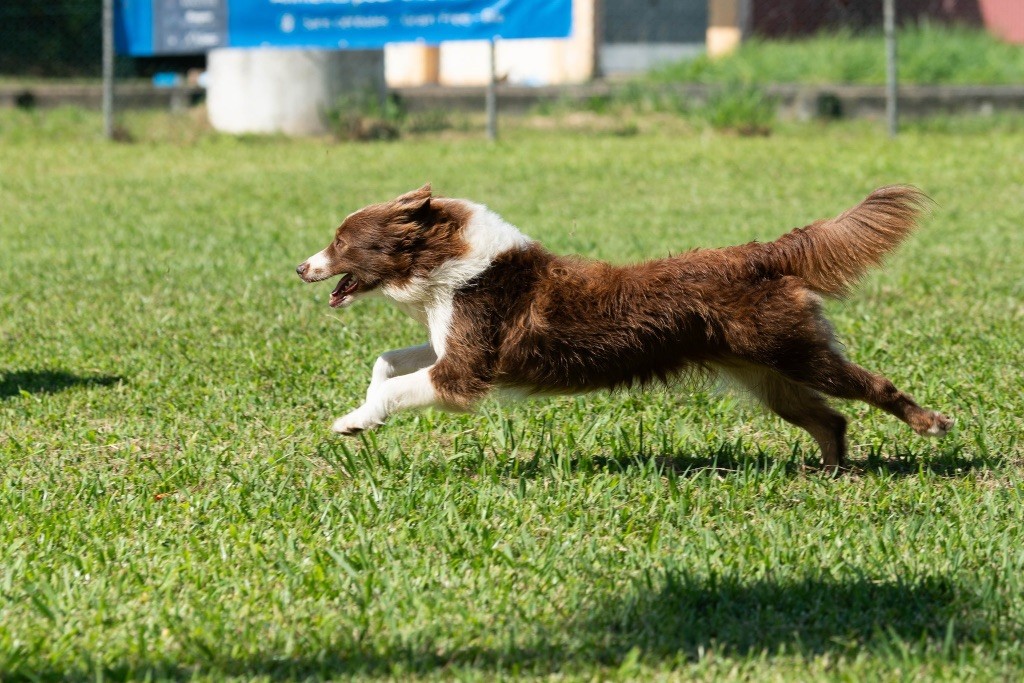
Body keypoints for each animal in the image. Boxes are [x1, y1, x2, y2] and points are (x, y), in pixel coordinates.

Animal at [296, 184, 950, 466]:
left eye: (341, 241)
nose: (302, 266)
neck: (451, 264)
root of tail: (757, 254)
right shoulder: (447, 345)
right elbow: (388, 362)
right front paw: (362, 411)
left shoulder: (463, 373)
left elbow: (403, 385)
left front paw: (353, 421)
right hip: (768, 374)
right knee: (829, 418)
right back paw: (831, 470)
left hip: (794, 353)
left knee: (871, 386)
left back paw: (931, 424)